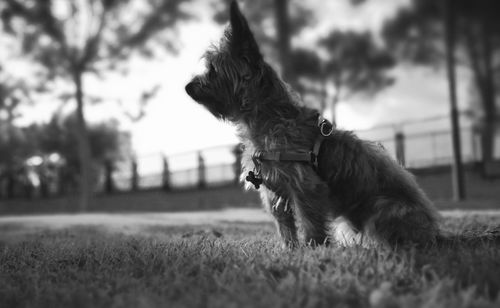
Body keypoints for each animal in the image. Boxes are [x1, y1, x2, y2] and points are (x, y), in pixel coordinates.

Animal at [186, 0, 440, 245]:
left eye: (212, 70)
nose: (187, 87)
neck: (268, 118)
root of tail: (436, 232)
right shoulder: (274, 193)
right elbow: (285, 229)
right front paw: (290, 251)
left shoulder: (305, 186)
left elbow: (310, 225)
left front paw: (313, 249)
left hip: (383, 208)